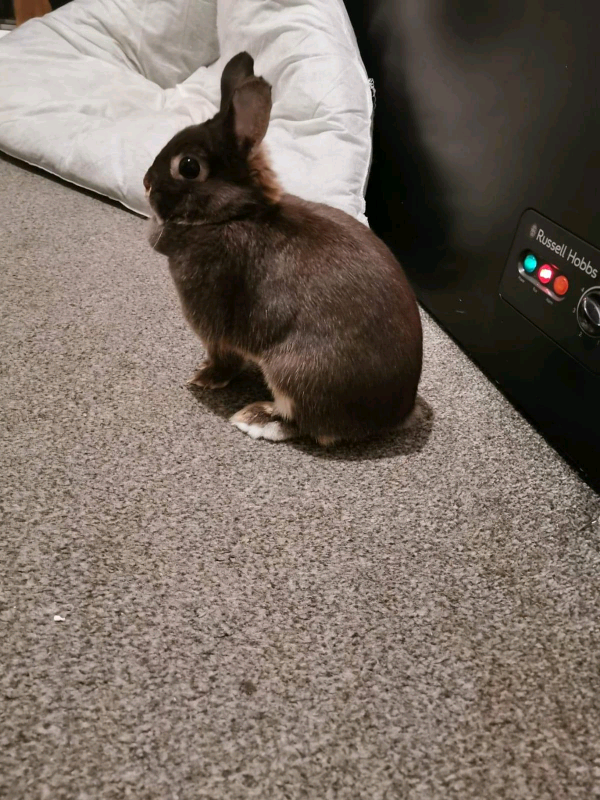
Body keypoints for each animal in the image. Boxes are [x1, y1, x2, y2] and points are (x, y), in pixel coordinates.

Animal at [144, 52, 423, 445]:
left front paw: (204, 377)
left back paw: (256, 417)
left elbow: (223, 359)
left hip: (292, 370)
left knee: (307, 425)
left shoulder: (213, 322)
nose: (145, 182)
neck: (233, 215)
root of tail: (395, 414)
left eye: (188, 166)